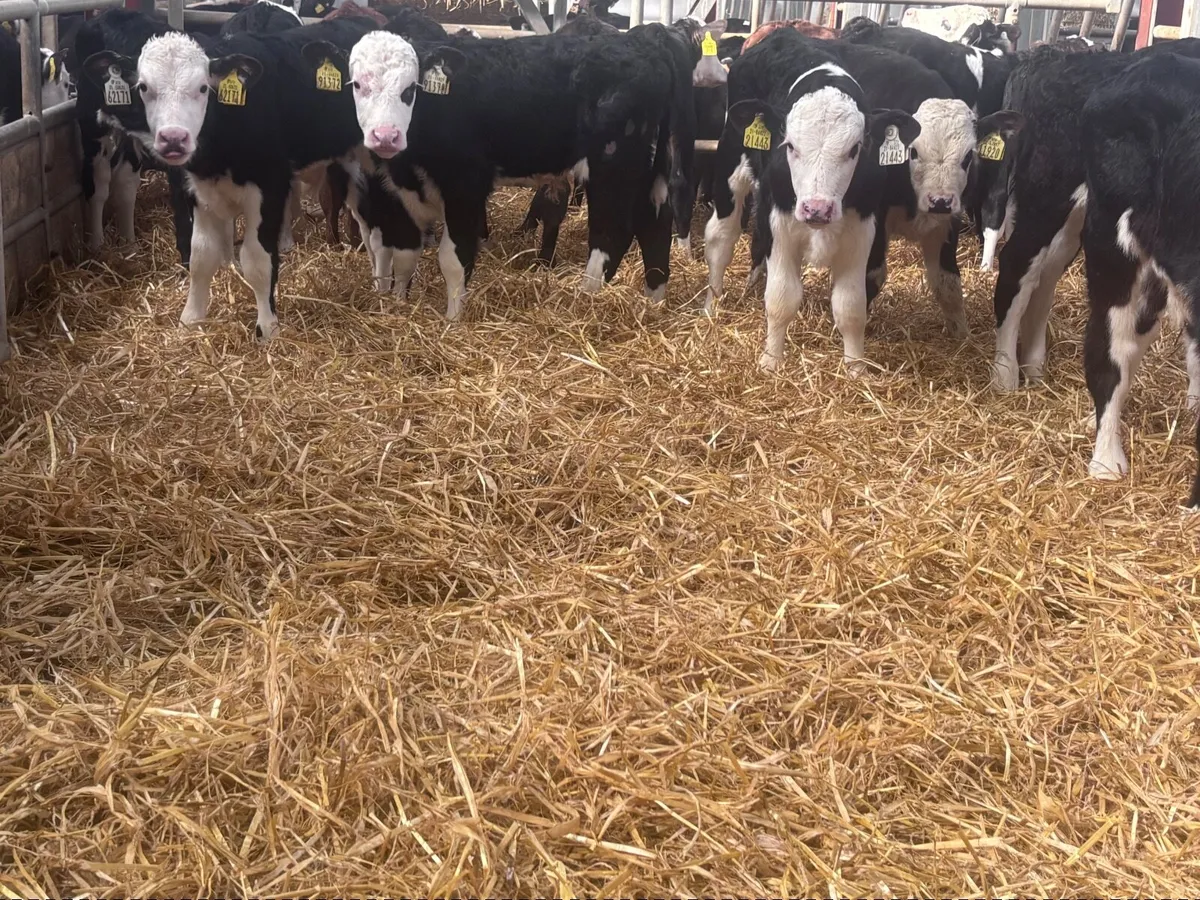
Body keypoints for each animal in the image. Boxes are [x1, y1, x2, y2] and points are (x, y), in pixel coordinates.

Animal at [112, 16, 377, 340]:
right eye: (144, 87)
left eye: (203, 88)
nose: (173, 138)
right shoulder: (199, 192)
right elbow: (200, 257)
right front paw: (191, 319)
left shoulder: (269, 188)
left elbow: (257, 261)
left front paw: (267, 327)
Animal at [347, 25, 695, 318]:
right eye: (358, 85)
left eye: (411, 88)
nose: (386, 135)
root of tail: (646, 37)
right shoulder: (401, 195)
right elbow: (403, 252)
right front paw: (396, 304)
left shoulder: (466, 185)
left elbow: (453, 259)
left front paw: (452, 321)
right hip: (649, 169)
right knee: (653, 226)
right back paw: (653, 303)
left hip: (613, 165)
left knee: (613, 233)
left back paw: (586, 298)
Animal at [701, 29, 920, 372]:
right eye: (790, 145)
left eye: (855, 149)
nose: (816, 208)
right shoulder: (780, 224)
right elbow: (781, 298)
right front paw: (771, 362)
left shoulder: (862, 230)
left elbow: (851, 306)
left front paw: (855, 369)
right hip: (731, 162)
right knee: (721, 239)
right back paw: (711, 306)